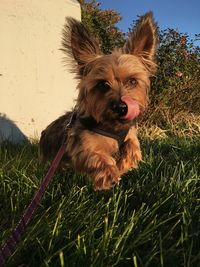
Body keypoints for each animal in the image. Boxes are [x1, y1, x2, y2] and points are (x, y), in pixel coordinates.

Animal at [39, 12, 158, 191]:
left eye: (132, 81)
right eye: (102, 84)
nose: (122, 107)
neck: (112, 127)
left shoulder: (130, 133)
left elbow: (133, 148)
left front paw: (123, 164)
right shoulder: (82, 147)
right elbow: (96, 157)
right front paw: (109, 175)